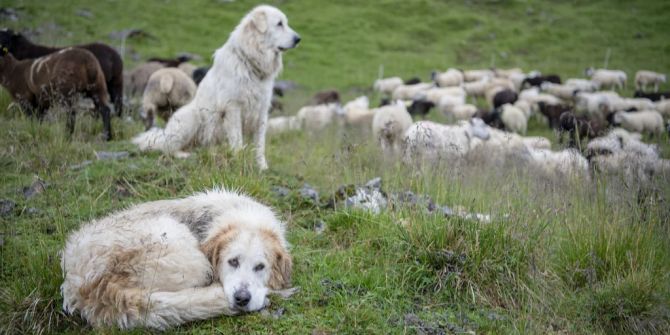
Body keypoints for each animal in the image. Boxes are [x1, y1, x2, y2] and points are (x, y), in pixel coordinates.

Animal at [134, 5, 302, 171]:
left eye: (285, 23)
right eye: (279, 24)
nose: (298, 39)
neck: (250, 63)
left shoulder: (261, 111)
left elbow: (260, 144)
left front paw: (261, 167)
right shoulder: (233, 107)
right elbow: (237, 140)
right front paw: (239, 163)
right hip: (190, 117)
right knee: (168, 148)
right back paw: (184, 155)